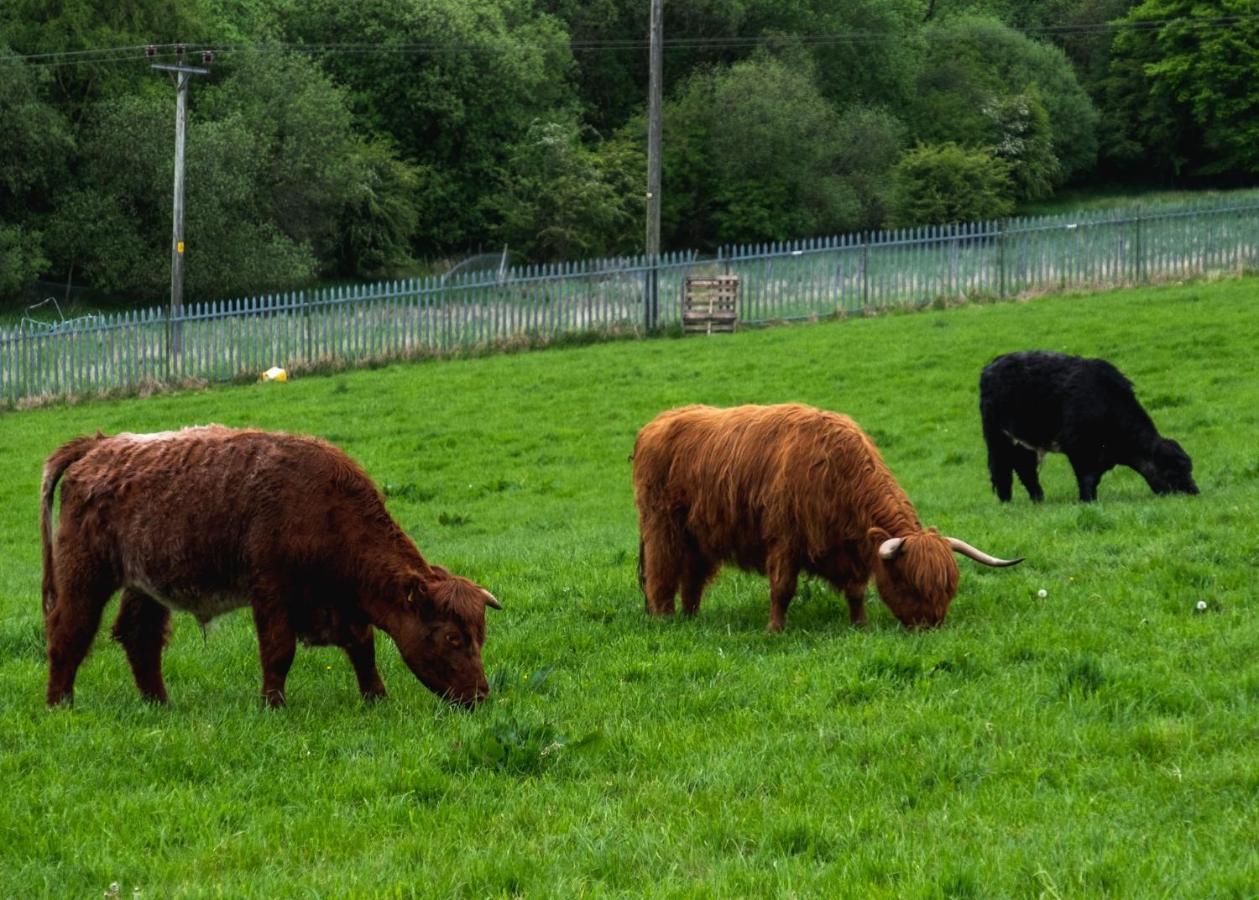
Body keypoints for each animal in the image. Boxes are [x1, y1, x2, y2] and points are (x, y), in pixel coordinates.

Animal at [35, 425, 496, 709]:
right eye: (452, 637)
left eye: (480, 636)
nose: (480, 696)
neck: (324, 507)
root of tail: (100, 446)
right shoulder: (272, 593)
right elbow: (278, 652)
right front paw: (273, 705)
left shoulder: (339, 604)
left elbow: (363, 647)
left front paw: (376, 698)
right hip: (85, 577)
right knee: (68, 633)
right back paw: (60, 704)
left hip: (144, 587)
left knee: (139, 638)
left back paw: (159, 705)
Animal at [629, 405, 1022, 629]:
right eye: (909, 583)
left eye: (948, 588)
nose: (932, 625)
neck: (837, 471)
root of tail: (656, 423)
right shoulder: (784, 540)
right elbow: (782, 589)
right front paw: (775, 629)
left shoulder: (848, 547)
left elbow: (856, 590)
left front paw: (859, 624)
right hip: (662, 526)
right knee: (662, 572)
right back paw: (666, 619)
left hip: (699, 536)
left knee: (692, 577)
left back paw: (691, 616)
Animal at [976, 352, 1193, 503]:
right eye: (1171, 472)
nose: (1193, 492)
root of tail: (992, 364)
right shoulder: (1079, 449)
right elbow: (1087, 478)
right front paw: (1088, 501)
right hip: (998, 438)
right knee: (1002, 469)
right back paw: (1006, 501)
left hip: (1024, 442)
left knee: (1025, 469)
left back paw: (1038, 499)